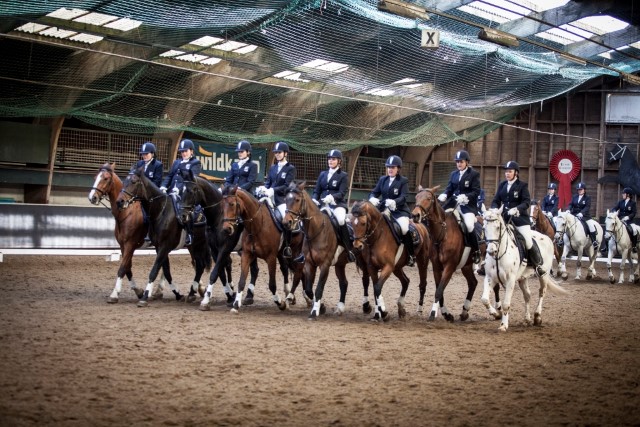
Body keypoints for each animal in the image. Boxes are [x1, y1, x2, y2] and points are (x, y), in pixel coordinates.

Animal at [88, 162, 162, 302]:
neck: (126, 212)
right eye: (95, 177)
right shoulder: (123, 245)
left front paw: (114, 294)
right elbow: (128, 268)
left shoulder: (130, 245)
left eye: (106, 178)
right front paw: (139, 291)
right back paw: (157, 291)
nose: (92, 197)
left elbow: (122, 268)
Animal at [116, 167, 211, 308]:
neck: (161, 211)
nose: (120, 201)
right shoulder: (158, 246)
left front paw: (144, 297)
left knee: (203, 265)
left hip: (202, 245)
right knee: (199, 266)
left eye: (133, 182)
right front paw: (176, 293)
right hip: (193, 246)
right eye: (124, 182)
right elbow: (166, 270)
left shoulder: (164, 246)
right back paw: (192, 294)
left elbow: (154, 270)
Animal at [220, 186, 302, 314]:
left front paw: (281, 304)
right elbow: (241, 282)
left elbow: (272, 284)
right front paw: (236, 305)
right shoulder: (246, 255)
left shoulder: (271, 258)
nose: (226, 229)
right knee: (285, 269)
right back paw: (290, 295)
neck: (257, 225)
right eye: (222, 205)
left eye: (232, 204)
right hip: (282, 254)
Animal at [284, 182, 372, 320]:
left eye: (297, 200)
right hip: (340, 264)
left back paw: (367, 306)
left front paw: (315, 311)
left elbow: (319, 288)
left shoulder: (324, 265)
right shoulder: (309, 264)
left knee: (365, 280)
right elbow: (309, 289)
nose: (287, 222)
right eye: (286, 199)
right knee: (344, 283)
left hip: (363, 261)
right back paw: (340, 308)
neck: (316, 230)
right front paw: (321, 307)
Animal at [410, 186, 484, 322]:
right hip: (466, 266)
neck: (443, 233)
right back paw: (464, 312)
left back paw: (497, 312)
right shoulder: (436, 267)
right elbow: (440, 291)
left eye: (429, 198)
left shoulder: (449, 266)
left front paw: (433, 313)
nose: (415, 215)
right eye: (417, 197)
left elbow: (439, 291)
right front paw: (446, 314)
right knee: (473, 283)